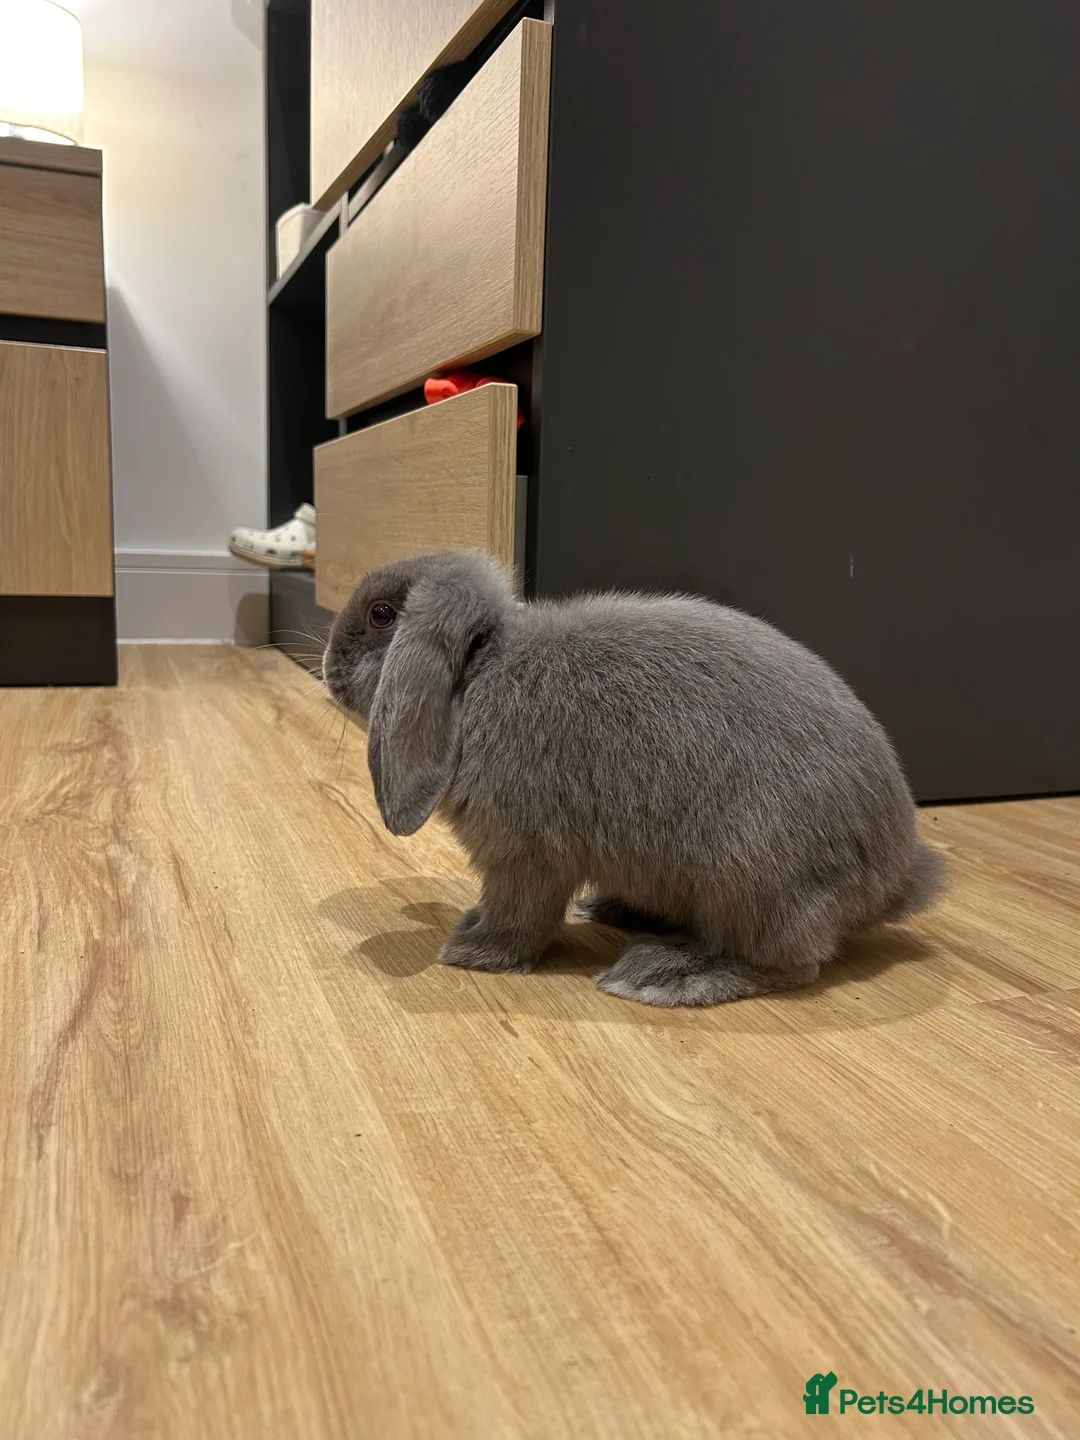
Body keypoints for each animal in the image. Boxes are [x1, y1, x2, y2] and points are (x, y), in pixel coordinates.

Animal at [322, 549, 946, 1007]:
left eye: (382, 615)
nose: (326, 668)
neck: (478, 677)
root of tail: (894, 878)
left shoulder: (525, 856)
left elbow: (519, 916)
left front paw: (471, 949)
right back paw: (616, 912)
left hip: (752, 877)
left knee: (789, 962)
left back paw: (663, 974)